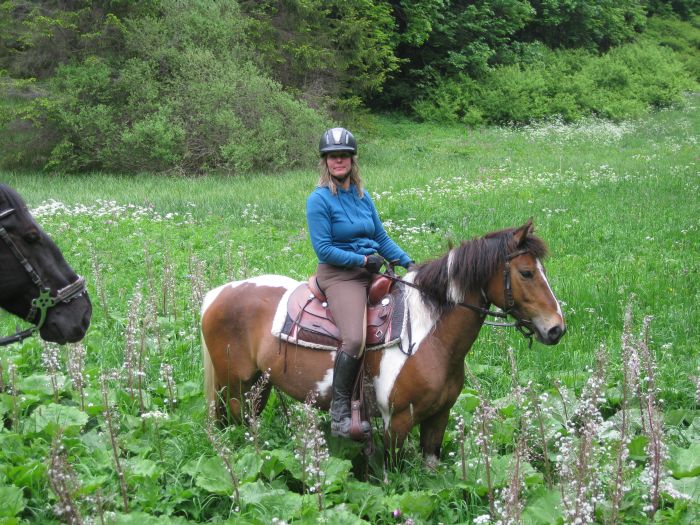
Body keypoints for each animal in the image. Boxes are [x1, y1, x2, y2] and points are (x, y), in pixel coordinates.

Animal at [200, 219, 568, 460]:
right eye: (526, 273)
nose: (556, 329)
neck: (429, 336)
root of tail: (216, 294)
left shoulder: (439, 418)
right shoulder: (397, 423)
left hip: (258, 385)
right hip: (231, 386)